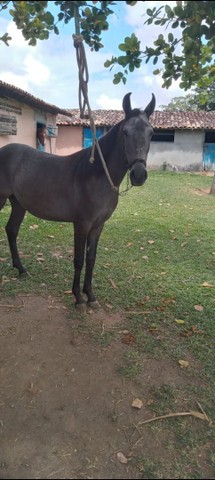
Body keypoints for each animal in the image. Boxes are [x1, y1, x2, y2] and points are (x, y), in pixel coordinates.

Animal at [0, 93, 155, 312]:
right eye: (125, 132)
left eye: (151, 133)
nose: (139, 175)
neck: (96, 175)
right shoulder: (81, 224)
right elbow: (79, 260)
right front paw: (78, 298)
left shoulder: (98, 226)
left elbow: (91, 259)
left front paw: (90, 296)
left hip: (18, 204)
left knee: (12, 230)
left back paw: (21, 269)